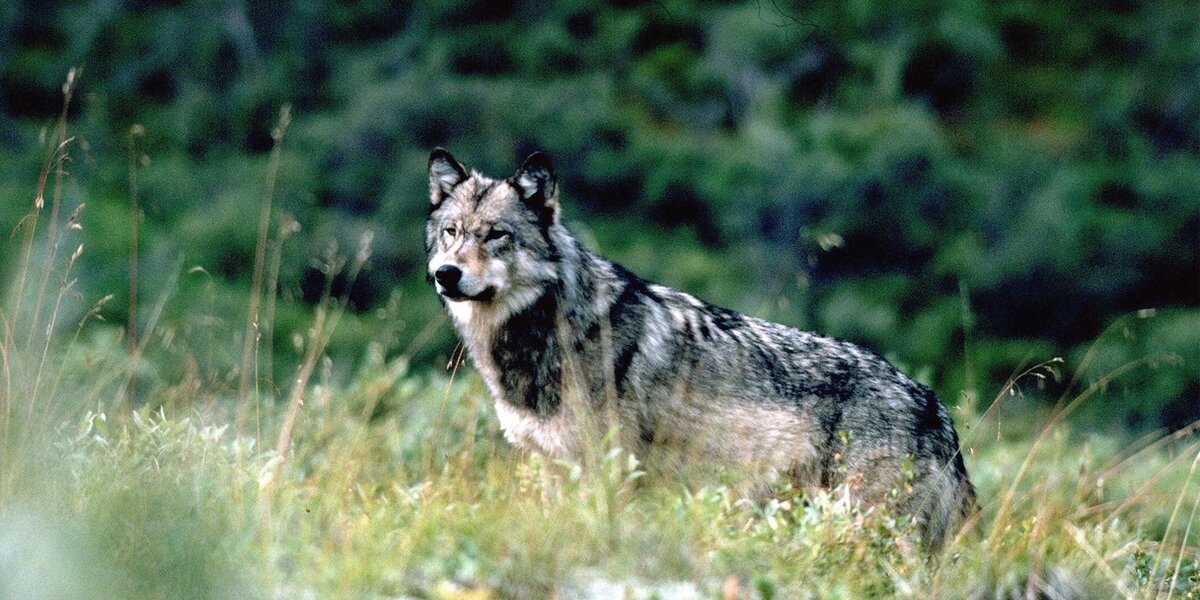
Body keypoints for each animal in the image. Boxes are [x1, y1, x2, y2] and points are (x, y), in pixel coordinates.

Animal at [424, 148, 976, 549]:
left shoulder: (607, 472)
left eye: (496, 235)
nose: (445, 274)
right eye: (451, 232)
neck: (550, 330)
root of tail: (936, 406)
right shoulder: (552, 467)